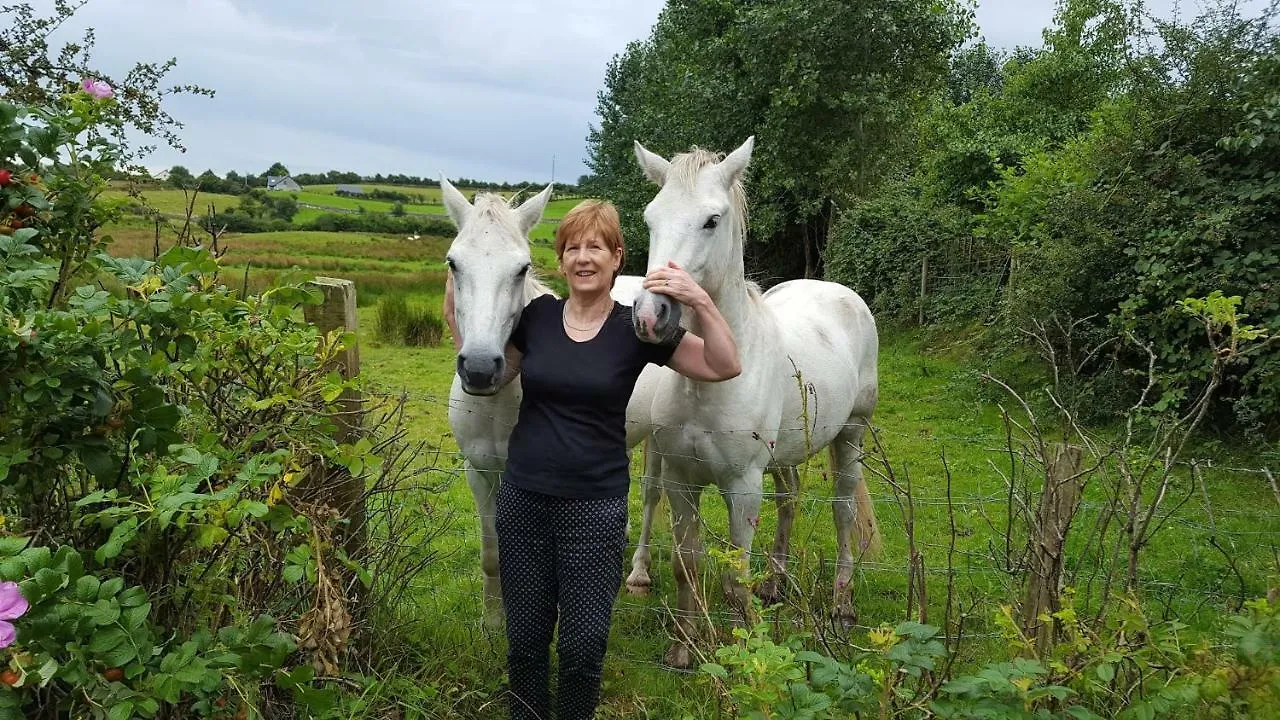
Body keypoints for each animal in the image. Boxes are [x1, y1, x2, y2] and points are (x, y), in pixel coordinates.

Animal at [627, 137, 880, 666]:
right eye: (650, 218)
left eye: (711, 220)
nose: (650, 315)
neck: (710, 377)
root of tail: (838, 291)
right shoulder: (681, 481)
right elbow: (686, 564)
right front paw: (683, 649)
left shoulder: (742, 487)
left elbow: (734, 580)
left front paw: (749, 654)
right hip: (785, 456)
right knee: (789, 499)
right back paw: (777, 584)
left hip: (852, 434)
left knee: (843, 510)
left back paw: (843, 603)